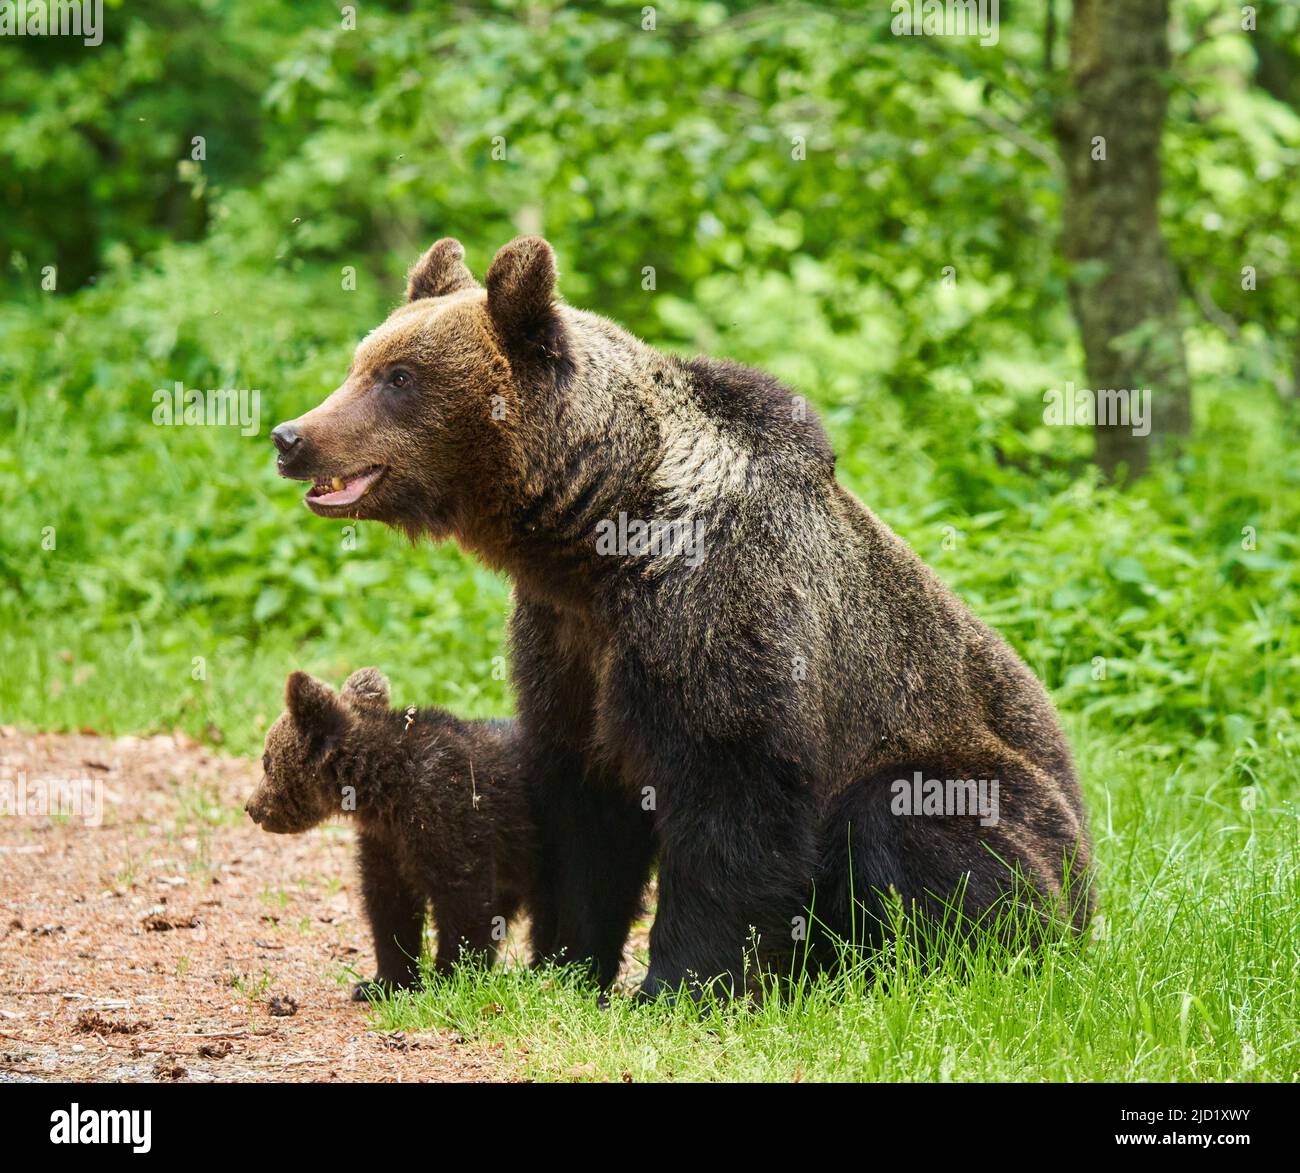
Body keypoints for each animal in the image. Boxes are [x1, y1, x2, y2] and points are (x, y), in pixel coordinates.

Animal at [244, 667, 534, 999]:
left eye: (266, 760)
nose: (251, 807)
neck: (385, 791)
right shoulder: (386, 841)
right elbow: (389, 907)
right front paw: (385, 982)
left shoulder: (452, 819)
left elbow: (464, 903)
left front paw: (450, 978)